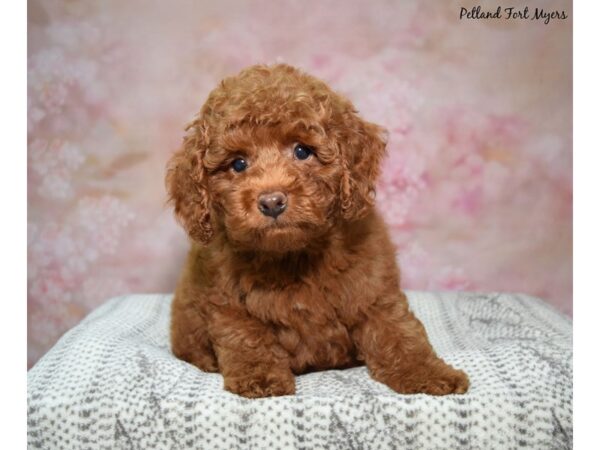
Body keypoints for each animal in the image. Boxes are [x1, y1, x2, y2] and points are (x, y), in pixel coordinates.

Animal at [165, 62, 468, 398]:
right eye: (238, 164)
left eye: (302, 151)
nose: (272, 202)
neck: (295, 254)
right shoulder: (227, 302)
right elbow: (247, 338)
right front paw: (261, 379)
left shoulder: (374, 291)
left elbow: (399, 333)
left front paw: (428, 373)